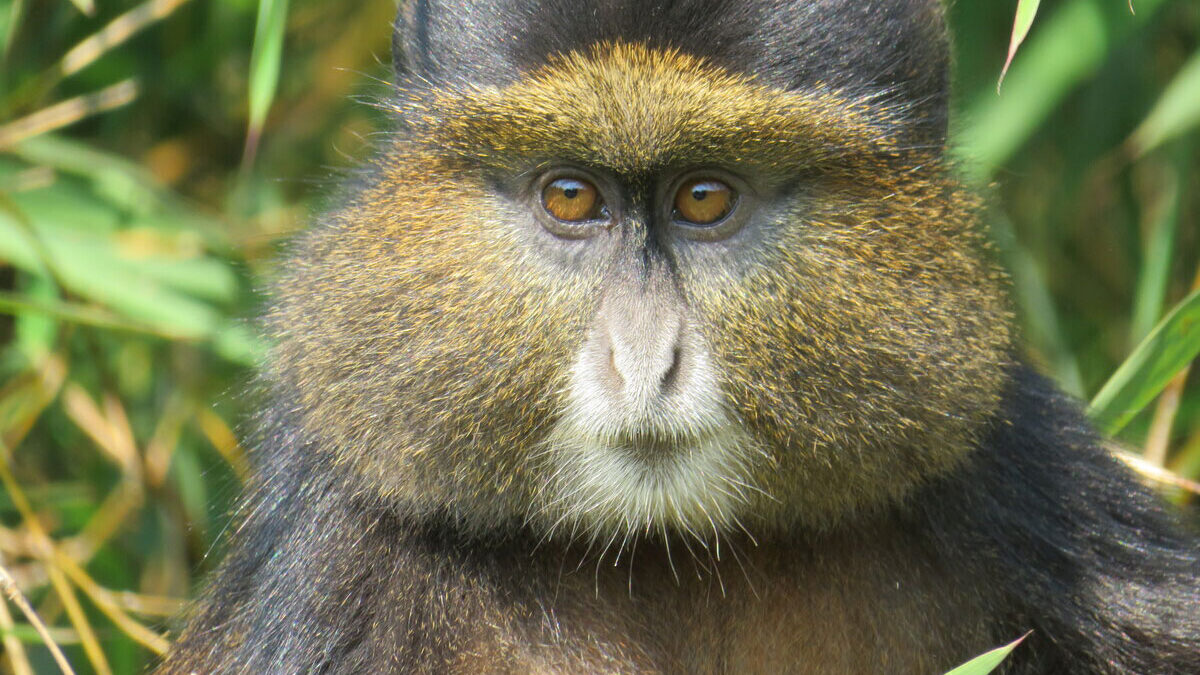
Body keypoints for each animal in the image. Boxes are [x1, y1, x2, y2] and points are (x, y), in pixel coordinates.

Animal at [154, 0, 1200, 673]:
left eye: (704, 196)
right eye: (571, 195)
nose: (646, 362)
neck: (664, 554)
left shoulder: (1025, 477)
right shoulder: (335, 543)